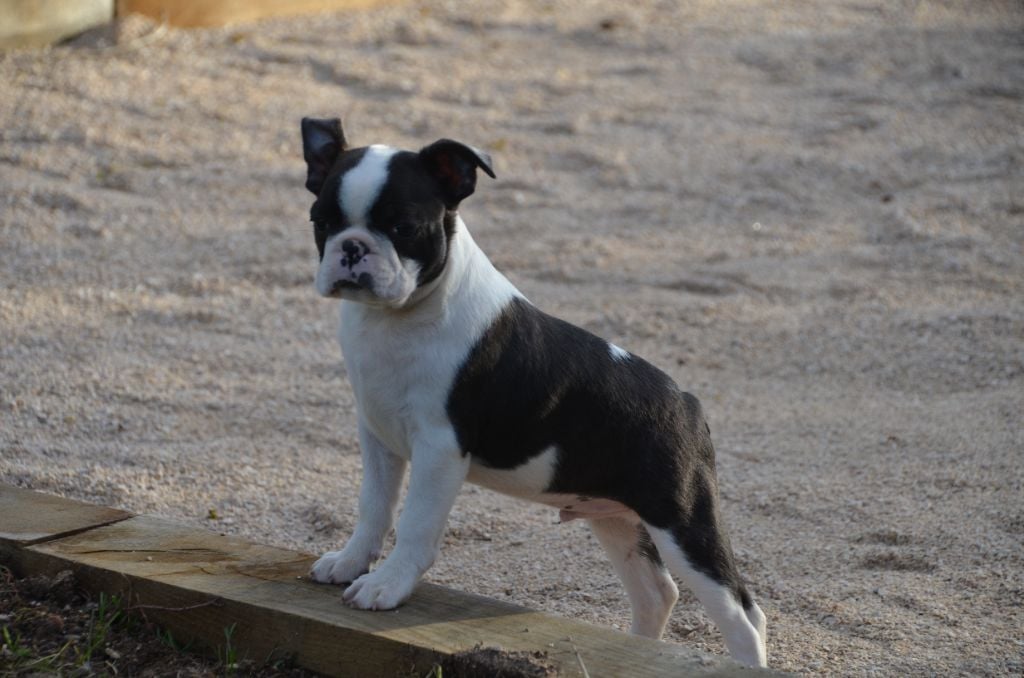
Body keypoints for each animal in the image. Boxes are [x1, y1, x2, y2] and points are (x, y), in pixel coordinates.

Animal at [300, 117, 767, 667]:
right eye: (322, 221)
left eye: (403, 228)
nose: (352, 247)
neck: (397, 318)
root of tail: (689, 404)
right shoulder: (376, 434)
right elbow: (373, 505)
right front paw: (350, 562)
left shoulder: (438, 447)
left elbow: (414, 522)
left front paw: (386, 587)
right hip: (617, 518)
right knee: (656, 592)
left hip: (681, 520)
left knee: (743, 615)